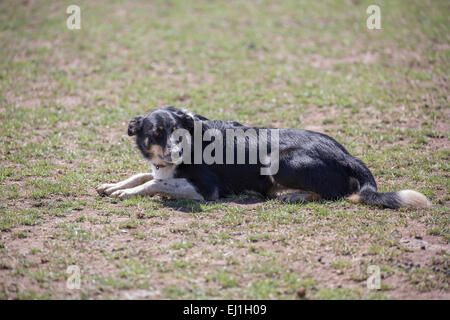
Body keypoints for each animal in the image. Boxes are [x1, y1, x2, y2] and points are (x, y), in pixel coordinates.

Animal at [96, 106, 430, 209]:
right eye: (156, 133)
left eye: (179, 134)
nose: (177, 153)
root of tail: (347, 154)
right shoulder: (162, 170)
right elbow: (145, 175)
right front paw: (113, 186)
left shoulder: (206, 189)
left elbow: (153, 183)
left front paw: (127, 192)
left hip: (282, 159)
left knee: (334, 193)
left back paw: (291, 196)